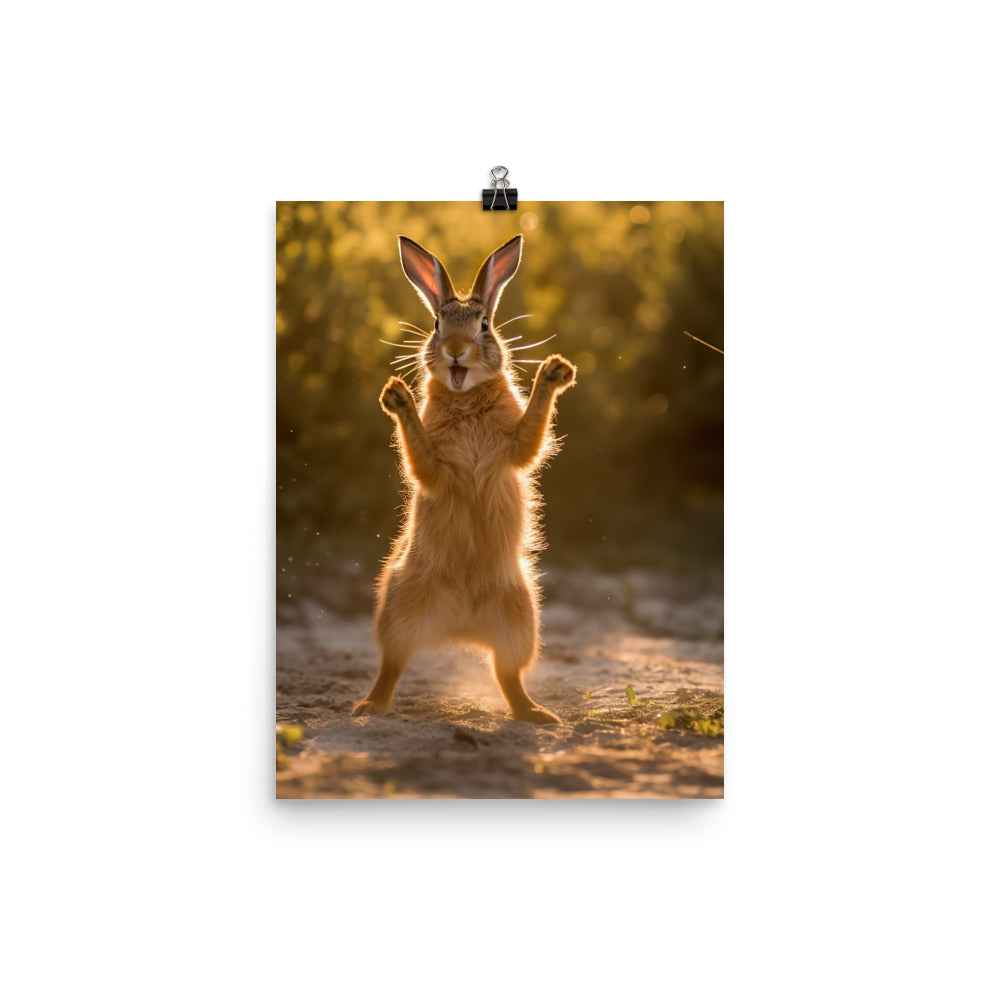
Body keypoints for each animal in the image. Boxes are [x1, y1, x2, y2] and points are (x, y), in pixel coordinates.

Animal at [351, 234, 577, 725]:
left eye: (485, 325)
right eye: (437, 324)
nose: (456, 348)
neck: (466, 397)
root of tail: (460, 626)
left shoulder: (514, 448)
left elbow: (532, 434)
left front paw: (556, 371)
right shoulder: (436, 468)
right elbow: (420, 459)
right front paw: (395, 396)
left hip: (520, 617)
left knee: (507, 675)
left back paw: (539, 715)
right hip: (399, 607)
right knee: (393, 664)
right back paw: (368, 707)